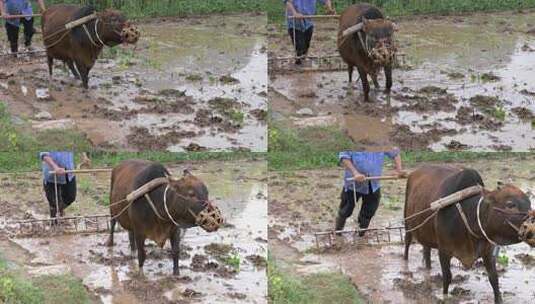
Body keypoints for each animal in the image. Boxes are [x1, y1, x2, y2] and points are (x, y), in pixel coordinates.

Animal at [404, 166, 532, 304]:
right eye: (510, 204)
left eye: (529, 203)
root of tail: (415, 171)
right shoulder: (443, 251)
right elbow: (447, 277)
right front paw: (444, 297)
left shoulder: (488, 252)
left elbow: (494, 279)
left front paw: (499, 299)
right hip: (407, 224)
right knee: (407, 243)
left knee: (426, 251)